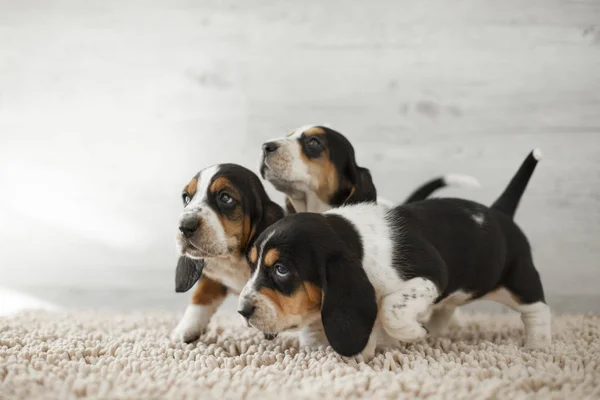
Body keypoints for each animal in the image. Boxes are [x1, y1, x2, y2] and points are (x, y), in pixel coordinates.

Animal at [171, 164, 284, 342]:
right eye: (186, 198)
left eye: (225, 198)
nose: (184, 226)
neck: (234, 260)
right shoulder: (214, 277)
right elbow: (200, 296)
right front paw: (185, 329)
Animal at [238, 148, 548, 358]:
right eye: (252, 265)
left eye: (281, 270)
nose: (242, 311)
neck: (357, 241)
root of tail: (499, 212)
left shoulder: (430, 277)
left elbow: (391, 310)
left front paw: (413, 334)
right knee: (445, 310)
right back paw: (435, 334)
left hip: (519, 281)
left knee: (536, 312)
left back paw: (536, 346)